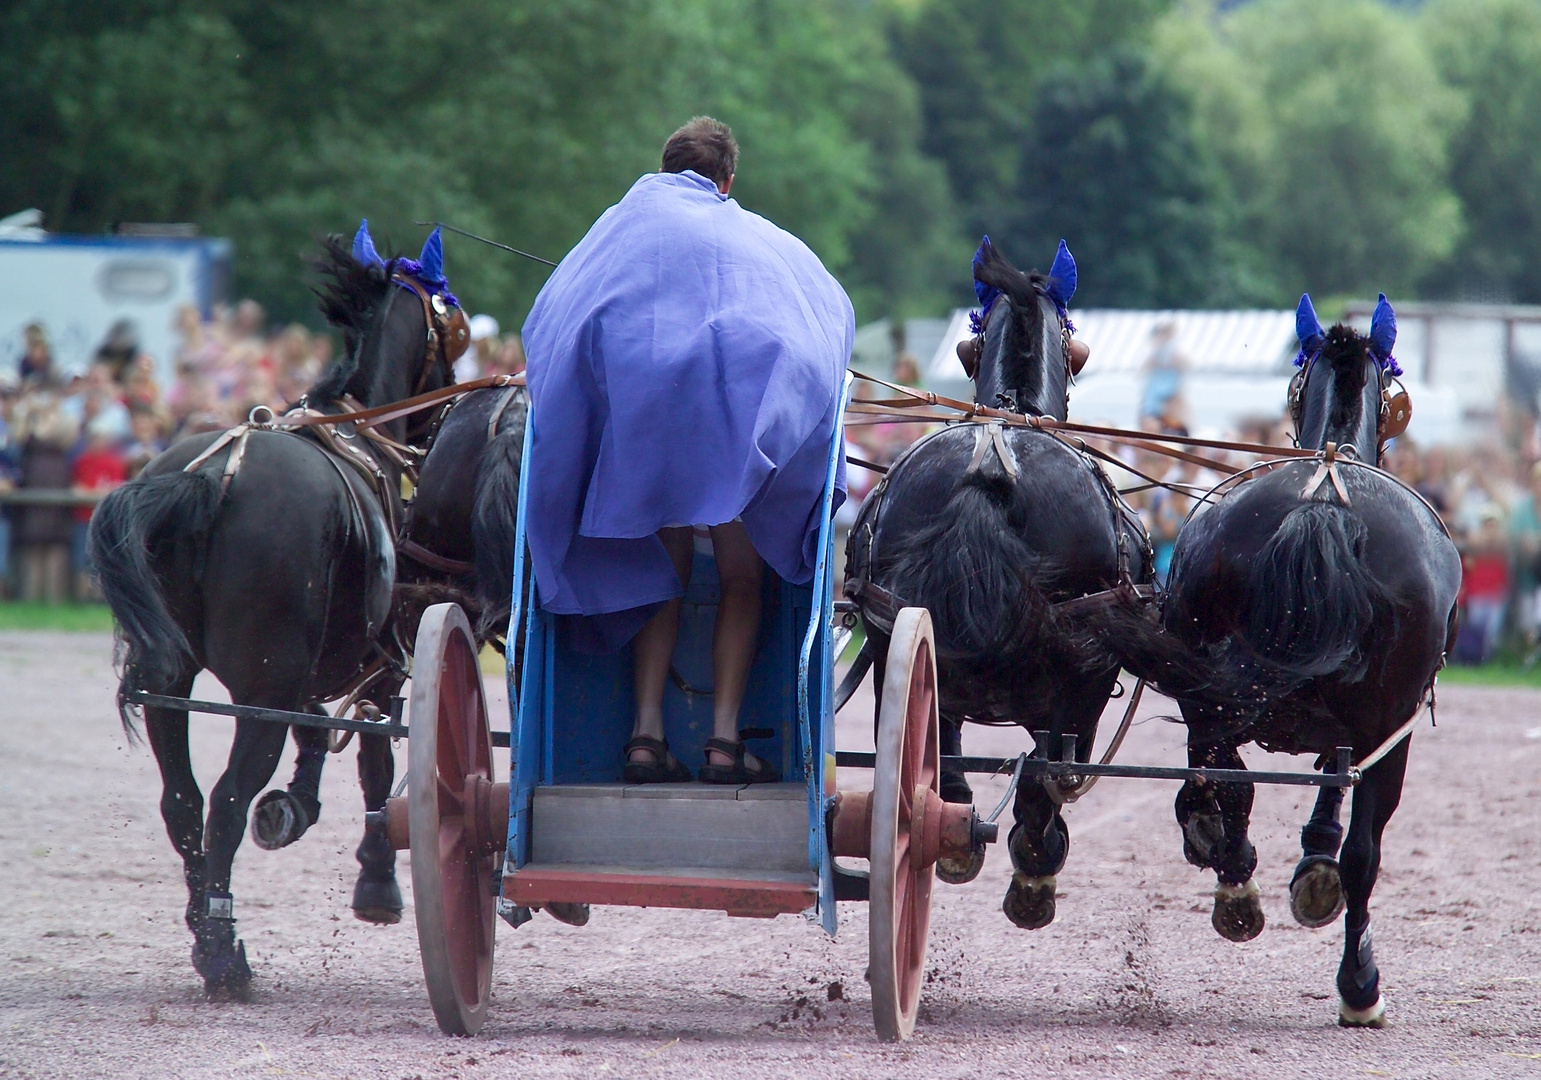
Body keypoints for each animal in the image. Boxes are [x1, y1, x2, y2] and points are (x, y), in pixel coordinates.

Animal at [88, 224, 459, 992]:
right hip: (261, 688)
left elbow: (320, 732)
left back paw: (205, 918)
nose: (438, 423)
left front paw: (298, 803)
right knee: (227, 798)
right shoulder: (387, 659)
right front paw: (376, 876)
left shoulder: (316, 669)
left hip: (172, 681)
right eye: (453, 331)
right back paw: (223, 949)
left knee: (184, 802)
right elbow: (376, 756)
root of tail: (211, 479)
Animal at [844, 240, 1158, 930]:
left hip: (893, 632)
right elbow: (1052, 768)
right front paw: (1033, 860)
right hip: (1080, 672)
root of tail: (991, 457)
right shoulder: (1086, 685)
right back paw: (1030, 866)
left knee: (940, 750)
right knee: (1042, 773)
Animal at [1121, 297, 1454, 1029]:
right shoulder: (1375, 725)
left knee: (1234, 782)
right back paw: (1355, 979)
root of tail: (1322, 505)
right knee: (1354, 846)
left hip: (1223, 687)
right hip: (1387, 724)